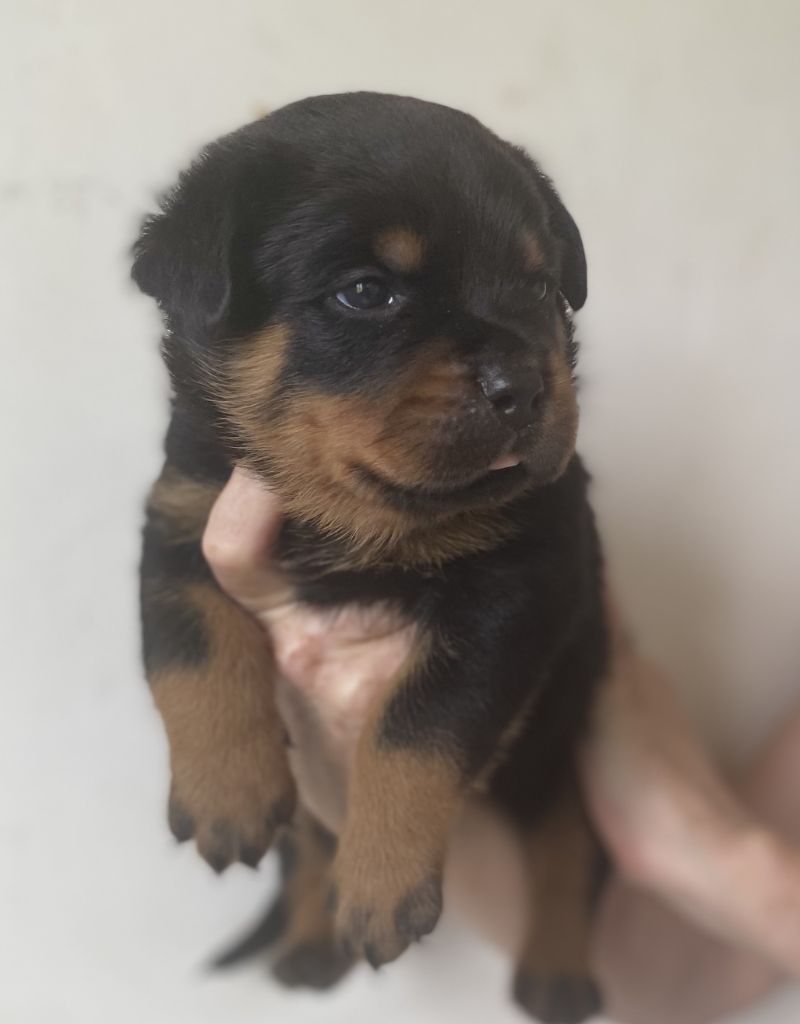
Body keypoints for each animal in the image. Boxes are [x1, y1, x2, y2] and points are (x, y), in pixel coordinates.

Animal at [133, 92, 609, 1024]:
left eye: (541, 287)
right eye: (366, 293)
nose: (525, 385)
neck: (356, 520)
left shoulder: (525, 582)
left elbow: (420, 723)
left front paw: (383, 879)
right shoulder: (182, 518)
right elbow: (192, 651)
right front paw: (225, 792)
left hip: (559, 726)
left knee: (566, 834)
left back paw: (556, 972)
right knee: (309, 844)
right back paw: (309, 944)